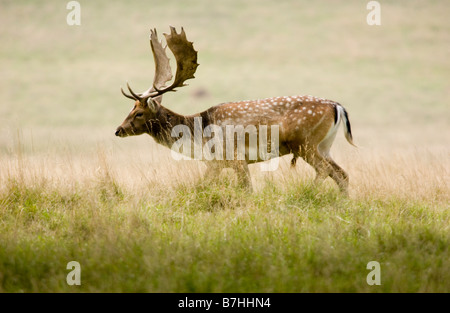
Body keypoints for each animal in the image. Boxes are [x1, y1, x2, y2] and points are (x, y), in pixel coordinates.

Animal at [116, 26, 356, 193]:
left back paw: (308, 194)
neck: (198, 134)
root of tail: (338, 107)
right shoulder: (216, 163)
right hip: (324, 145)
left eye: (139, 113)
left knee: (326, 170)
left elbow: (245, 189)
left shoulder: (234, 157)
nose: (118, 130)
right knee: (341, 174)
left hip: (306, 142)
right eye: (130, 108)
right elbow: (204, 185)